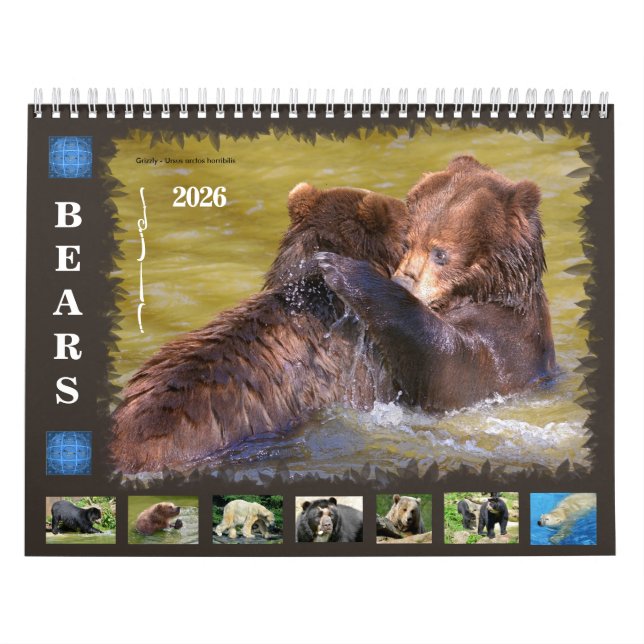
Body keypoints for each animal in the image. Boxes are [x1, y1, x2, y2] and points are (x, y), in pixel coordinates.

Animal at [315, 156, 556, 411]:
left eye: (440, 253)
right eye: (407, 243)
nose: (404, 281)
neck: (486, 290)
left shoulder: (505, 342)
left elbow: (446, 364)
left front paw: (340, 267)